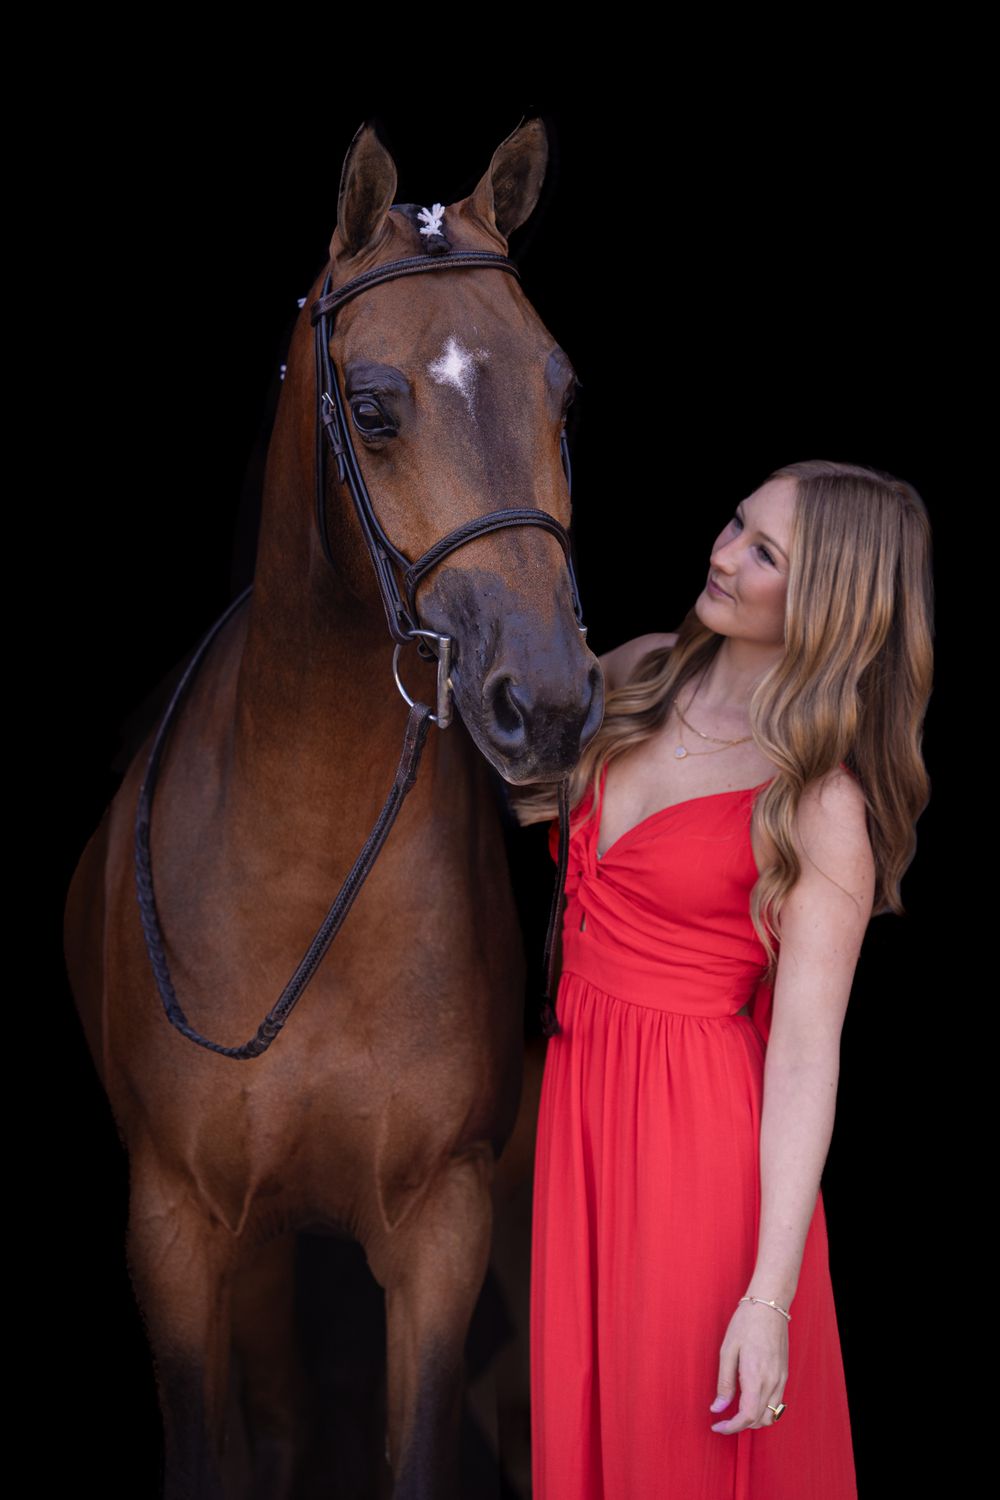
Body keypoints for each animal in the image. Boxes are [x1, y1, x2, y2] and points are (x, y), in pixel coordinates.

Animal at [62, 115, 601, 1498]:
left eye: (561, 390)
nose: (547, 702)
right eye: (371, 406)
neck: (301, 859)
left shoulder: (443, 1230)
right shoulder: (178, 1231)